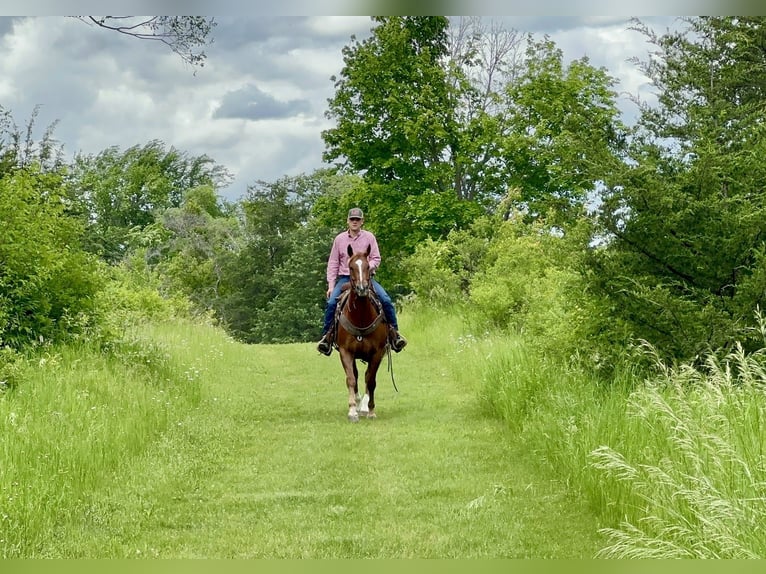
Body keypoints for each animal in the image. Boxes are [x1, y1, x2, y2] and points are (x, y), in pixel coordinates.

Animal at [340, 243, 390, 424]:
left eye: (368, 266)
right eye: (351, 267)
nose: (362, 289)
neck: (360, 317)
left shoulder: (378, 352)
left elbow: (371, 380)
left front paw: (370, 410)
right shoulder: (345, 351)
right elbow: (351, 379)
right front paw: (352, 411)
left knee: (368, 377)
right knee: (355, 376)